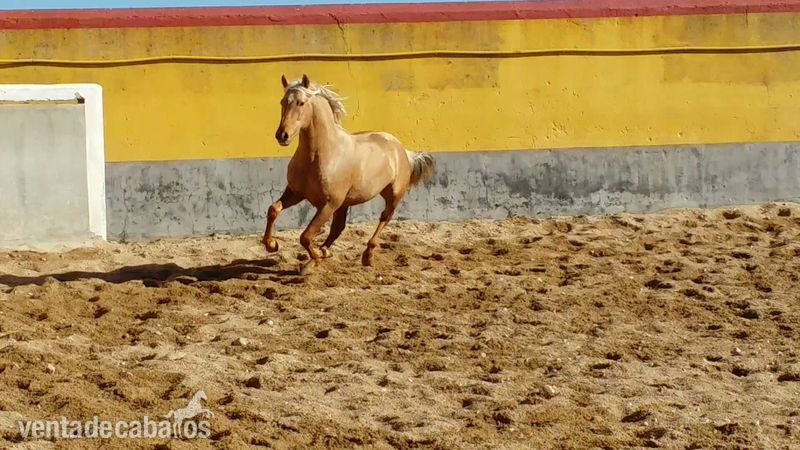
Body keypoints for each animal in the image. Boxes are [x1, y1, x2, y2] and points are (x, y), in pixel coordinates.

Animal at [261, 74, 436, 273]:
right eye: (283, 102)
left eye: (301, 102)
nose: (282, 135)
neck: (321, 155)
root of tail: (401, 149)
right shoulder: (296, 192)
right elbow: (273, 209)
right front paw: (272, 245)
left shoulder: (329, 204)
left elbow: (305, 236)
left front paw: (313, 260)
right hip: (345, 203)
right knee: (338, 227)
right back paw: (323, 252)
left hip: (393, 195)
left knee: (384, 218)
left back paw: (366, 256)